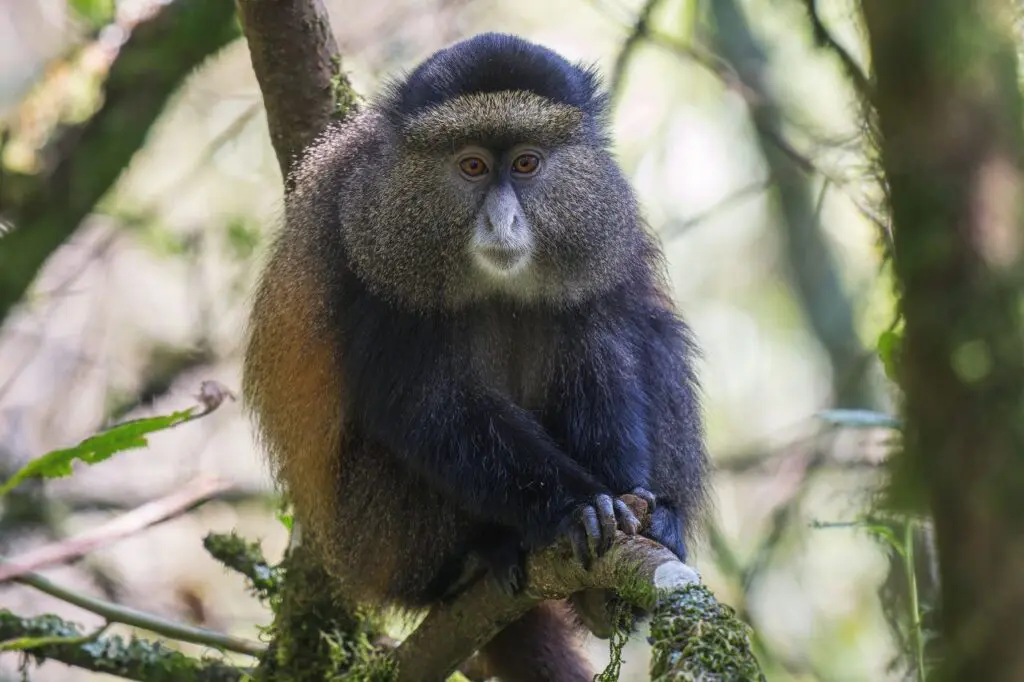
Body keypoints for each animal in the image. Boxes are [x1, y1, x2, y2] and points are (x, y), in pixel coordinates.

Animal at [243, 32, 709, 681]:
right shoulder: (372, 256)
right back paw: (478, 555)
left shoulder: (595, 253)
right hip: (379, 538)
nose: (503, 220)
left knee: (655, 338)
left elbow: (603, 354)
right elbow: (425, 405)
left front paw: (627, 513)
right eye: (471, 166)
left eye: (526, 164)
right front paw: (577, 507)